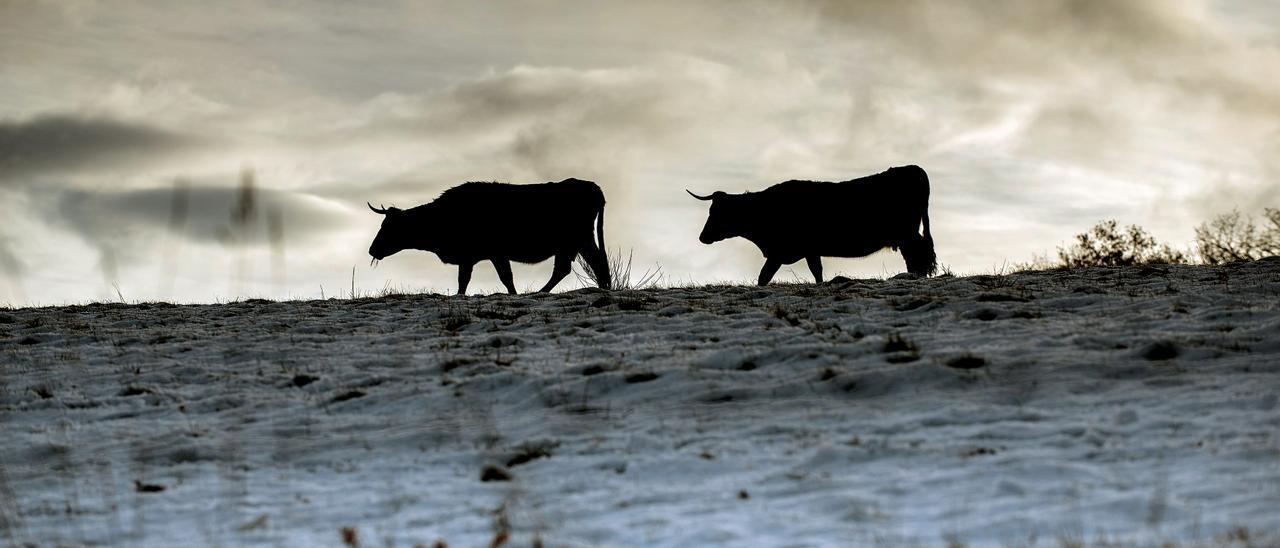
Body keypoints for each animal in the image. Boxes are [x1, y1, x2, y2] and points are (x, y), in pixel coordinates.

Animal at [368, 177, 611, 293]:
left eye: (388, 227)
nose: (371, 250)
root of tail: (593, 187)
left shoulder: (493, 253)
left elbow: (503, 278)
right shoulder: (469, 258)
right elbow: (465, 281)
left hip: (579, 238)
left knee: (591, 263)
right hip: (573, 243)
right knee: (570, 267)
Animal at [691, 163, 942, 284]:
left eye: (716, 213)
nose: (702, 237)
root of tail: (914, 169)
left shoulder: (781, 252)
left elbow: (764, 276)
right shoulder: (809, 250)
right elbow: (817, 271)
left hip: (908, 233)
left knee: (919, 253)